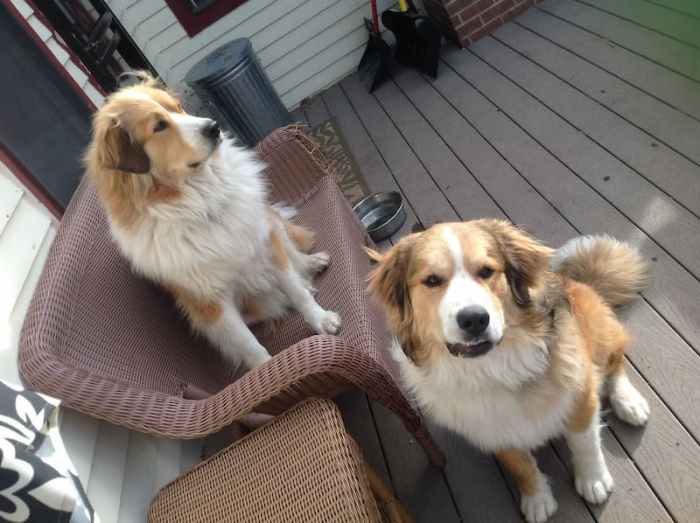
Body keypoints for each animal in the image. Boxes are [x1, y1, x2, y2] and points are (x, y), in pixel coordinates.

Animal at [85, 74, 342, 372]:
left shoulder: (266, 245)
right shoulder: (212, 303)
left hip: (270, 222)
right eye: (159, 126)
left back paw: (312, 265)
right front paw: (266, 367)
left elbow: (296, 290)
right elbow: (248, 344)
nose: (214, 127)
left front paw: (321, 319)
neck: (203, 203)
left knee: (293, 253)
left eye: (177, 107)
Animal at [370, 221, 648, 523]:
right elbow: (521, 466)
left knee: (616, 359)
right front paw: (537, 498)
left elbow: (585, 441)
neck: (493, 367)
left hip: (597, 331)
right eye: (432, 280)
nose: (474, 319)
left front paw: (592, 480)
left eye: (486, 271)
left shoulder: (580, 394)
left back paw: (629, 402)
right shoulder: (495, 430)